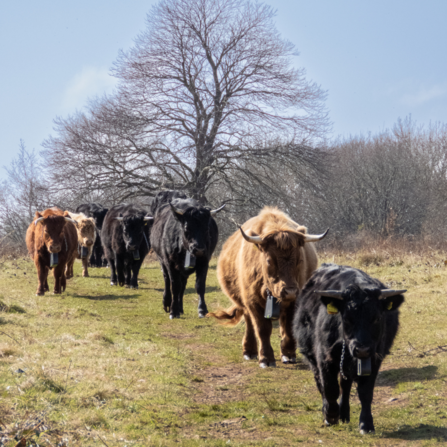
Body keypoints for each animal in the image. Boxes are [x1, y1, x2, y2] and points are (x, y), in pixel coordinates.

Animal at [208, 206, 328, 368]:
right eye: (269, 260)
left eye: (300, 260)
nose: (290, 291)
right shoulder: (253, 301)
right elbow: (262, 329)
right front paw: (266, 358)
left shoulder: (295, 301)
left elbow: (289, 327)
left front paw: (288, 354)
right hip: (244, 302)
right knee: (249, 323)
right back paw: (249, 351)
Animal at [294, 264, 406, 436]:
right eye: (347, 318)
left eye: (376, 318)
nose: (362, 350)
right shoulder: (324, 358)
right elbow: (330, 388)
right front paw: (331, 415)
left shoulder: (374, 360)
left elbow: (365, 392)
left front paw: (366, 424)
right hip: (312, 357)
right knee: (322, 384)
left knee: (345, 385)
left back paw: (344, 414)